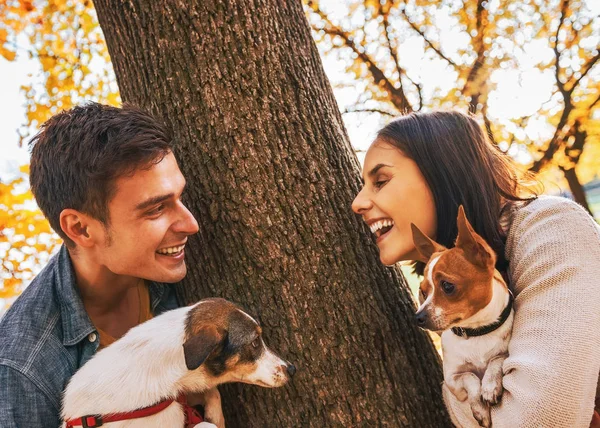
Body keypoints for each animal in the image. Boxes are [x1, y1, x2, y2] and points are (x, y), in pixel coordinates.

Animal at [412, 206, 516, 426]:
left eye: (447, 286)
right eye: (423, 291)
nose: (418, 317)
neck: (476, 332)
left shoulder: (506, 354)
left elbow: (497, 359)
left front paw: (490, 386)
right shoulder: (452, 379)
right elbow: (471, 377)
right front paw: (480, 408)